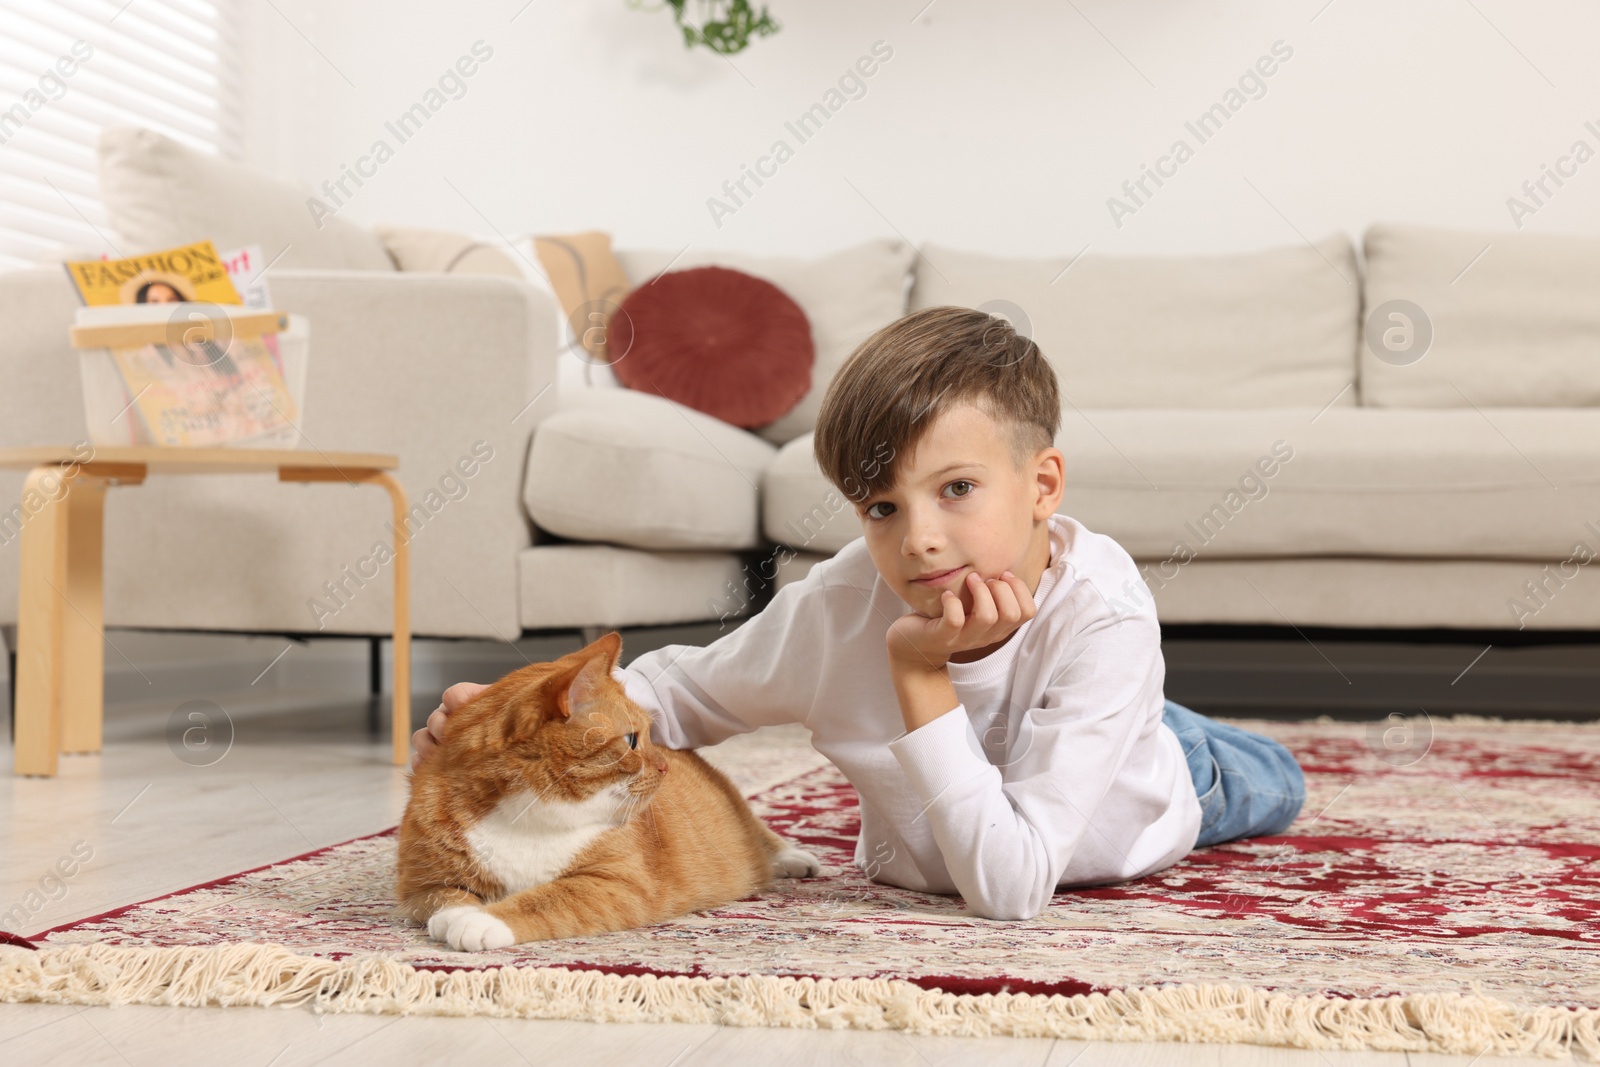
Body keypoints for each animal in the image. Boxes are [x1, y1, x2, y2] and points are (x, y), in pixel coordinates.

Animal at [398, 630, 819, 947]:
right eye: (632, 740)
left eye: (648, 735)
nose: (664, 765)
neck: (525, 819)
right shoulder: (421, 884)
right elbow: (447, 898)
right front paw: (462, 914)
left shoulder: (616, 883)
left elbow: (546, 899)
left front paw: (484, 921)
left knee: (761, 835)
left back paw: (793, 858)